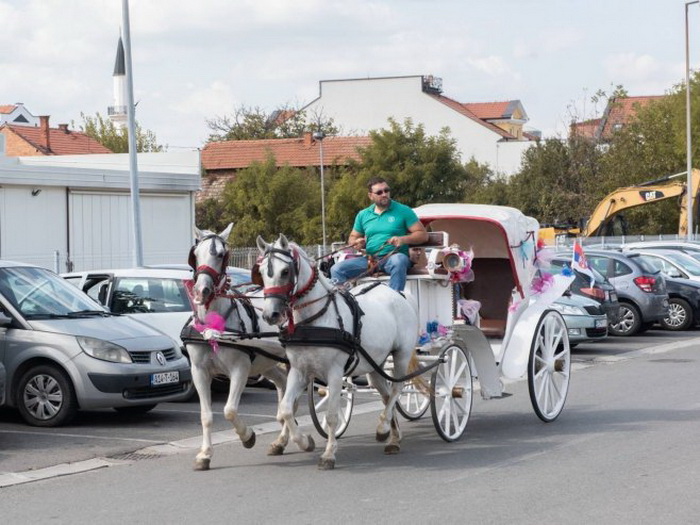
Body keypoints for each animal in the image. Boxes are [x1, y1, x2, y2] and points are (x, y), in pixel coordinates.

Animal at [183, 223, 292, 468]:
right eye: (195, 254)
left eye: (221, 254)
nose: (202, 290)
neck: (215, 325)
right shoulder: (199, 371)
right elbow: (206, 415)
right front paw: (205, 454)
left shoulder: (240, 369)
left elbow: (230, 410)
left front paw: (247, 436)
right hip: (267, 363)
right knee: (282, 384)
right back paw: (281, 440)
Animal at [258, 234, 422, 470]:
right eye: (261, 272)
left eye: (285, 271)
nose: (270, 315)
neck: (316, 319)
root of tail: (401, 294)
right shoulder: (298, 371)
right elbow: (286, 409)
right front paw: (304, 442)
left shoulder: (335, 374)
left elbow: (331, 417)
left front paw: (328, 454)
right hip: (375, 363)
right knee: (385, 393)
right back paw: (392, 438)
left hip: (401, 354)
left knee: (397, 388)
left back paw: (383, 427)